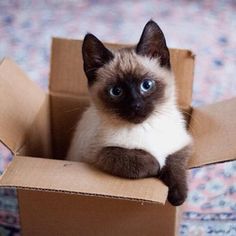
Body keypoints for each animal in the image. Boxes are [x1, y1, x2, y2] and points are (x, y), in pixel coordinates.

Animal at [66, 19, 192, 205]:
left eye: (146, 85)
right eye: (116, 91)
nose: (135, 105)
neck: (145, 128)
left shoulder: (182, 143)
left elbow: (174, 164)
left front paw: (177, 198)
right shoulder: (95, 154)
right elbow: (135, 157)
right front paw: (156, 166)